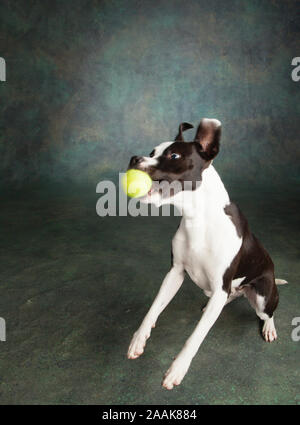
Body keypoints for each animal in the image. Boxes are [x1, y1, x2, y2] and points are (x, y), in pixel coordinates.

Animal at [126, 118, 286, 388]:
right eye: (152, 152)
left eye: (174, 155)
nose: (134, 158)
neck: (198, 220)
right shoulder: (175, 274)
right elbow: (154, 307)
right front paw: (139, 337)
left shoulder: (220, 284)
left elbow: (196, 335)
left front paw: (177, 368)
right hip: (214, 291)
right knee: (228, 297)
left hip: (263, 296)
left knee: (267, 312)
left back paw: (268, 327)